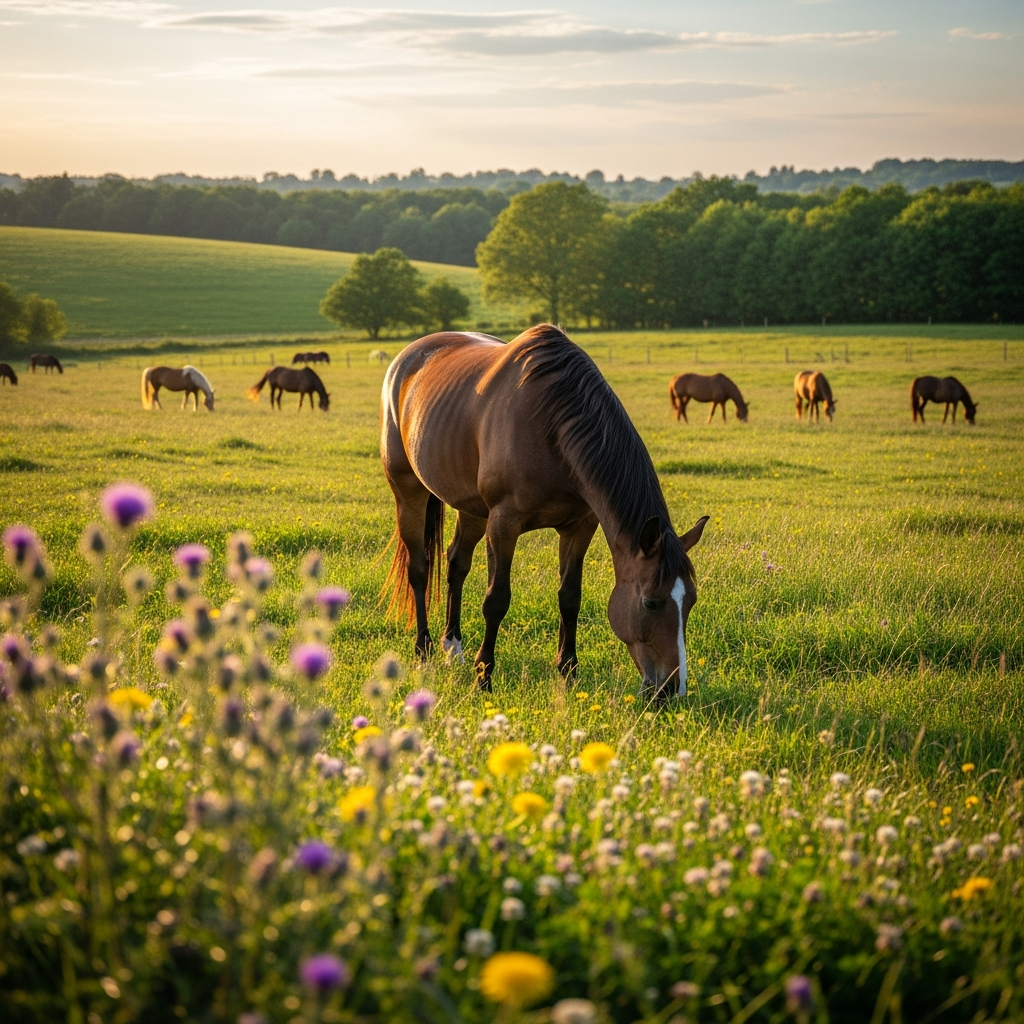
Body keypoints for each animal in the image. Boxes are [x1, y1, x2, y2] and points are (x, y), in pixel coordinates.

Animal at [382, 324, 709, 696]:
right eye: (651, 603)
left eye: (691, 601)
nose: (671, 689)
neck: (550, 424)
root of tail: (407, 357)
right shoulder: (503, 524)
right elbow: (496, 600)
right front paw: (484, 677)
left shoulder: (579, 525)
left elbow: (570, 597)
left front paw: (568, 671)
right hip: (409, 492)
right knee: (420, 568)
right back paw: (424, 650)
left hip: (472, 508)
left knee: (456, 564)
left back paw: (453, 648)